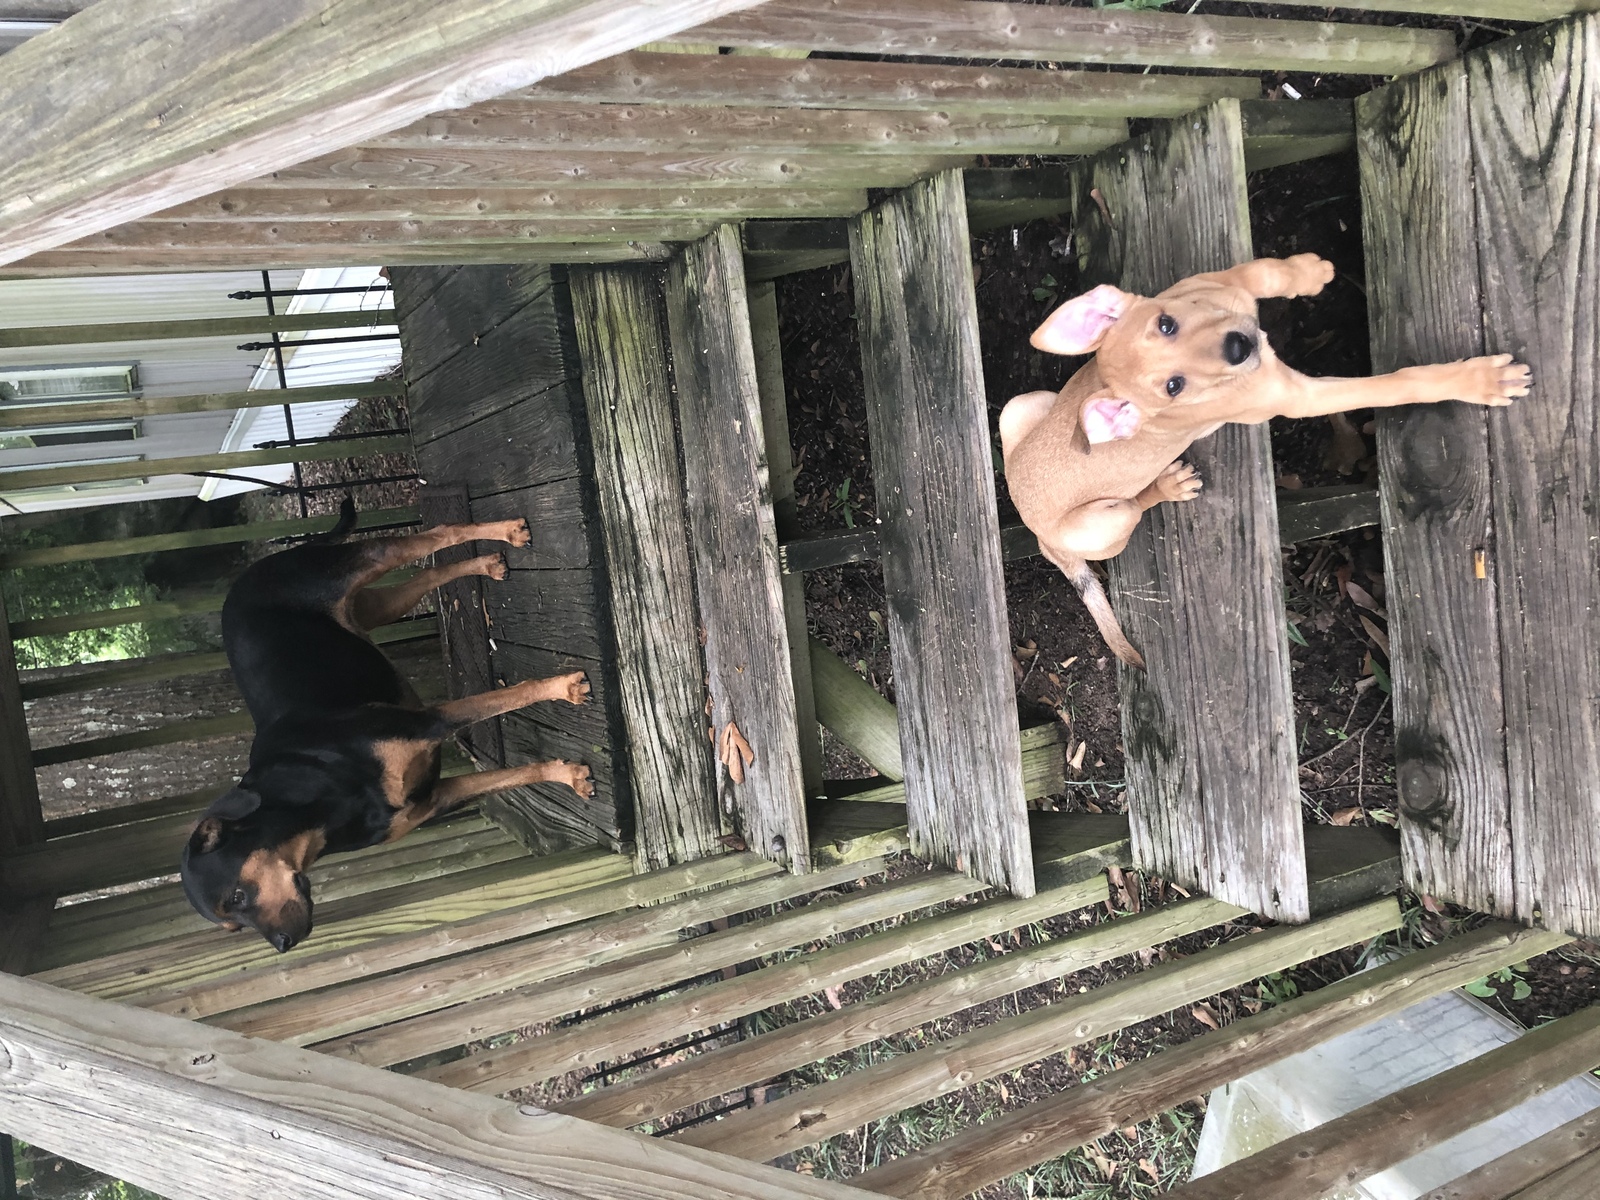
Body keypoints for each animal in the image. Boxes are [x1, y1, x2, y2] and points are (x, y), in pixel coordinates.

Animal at [180, 503, 594, 953]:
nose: (284, 943)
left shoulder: (430, 721)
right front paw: (567, 775)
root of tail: (248, 572)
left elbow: (511, 697)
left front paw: (563, 688)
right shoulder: (435, 798)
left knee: (436, 534)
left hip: (362, 564)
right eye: (234, 926)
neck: (321, 805)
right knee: (425, 574)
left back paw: (505, 532)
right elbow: (511, 776)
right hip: (373, 608)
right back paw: (485, 563)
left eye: (237, 896)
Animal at [1000, 253, 1532, 668]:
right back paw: (1170, 485)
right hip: (1105, 522)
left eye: (1167, 323)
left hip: (1021, 407)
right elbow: (1397, 384)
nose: (1240, 345)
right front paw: (1481, 381)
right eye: (1174, 386)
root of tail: (1041, 539)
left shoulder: (1217, 281)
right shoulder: (1302, 398)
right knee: (1135, 505)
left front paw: (1308, 272)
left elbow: (1263, 272)